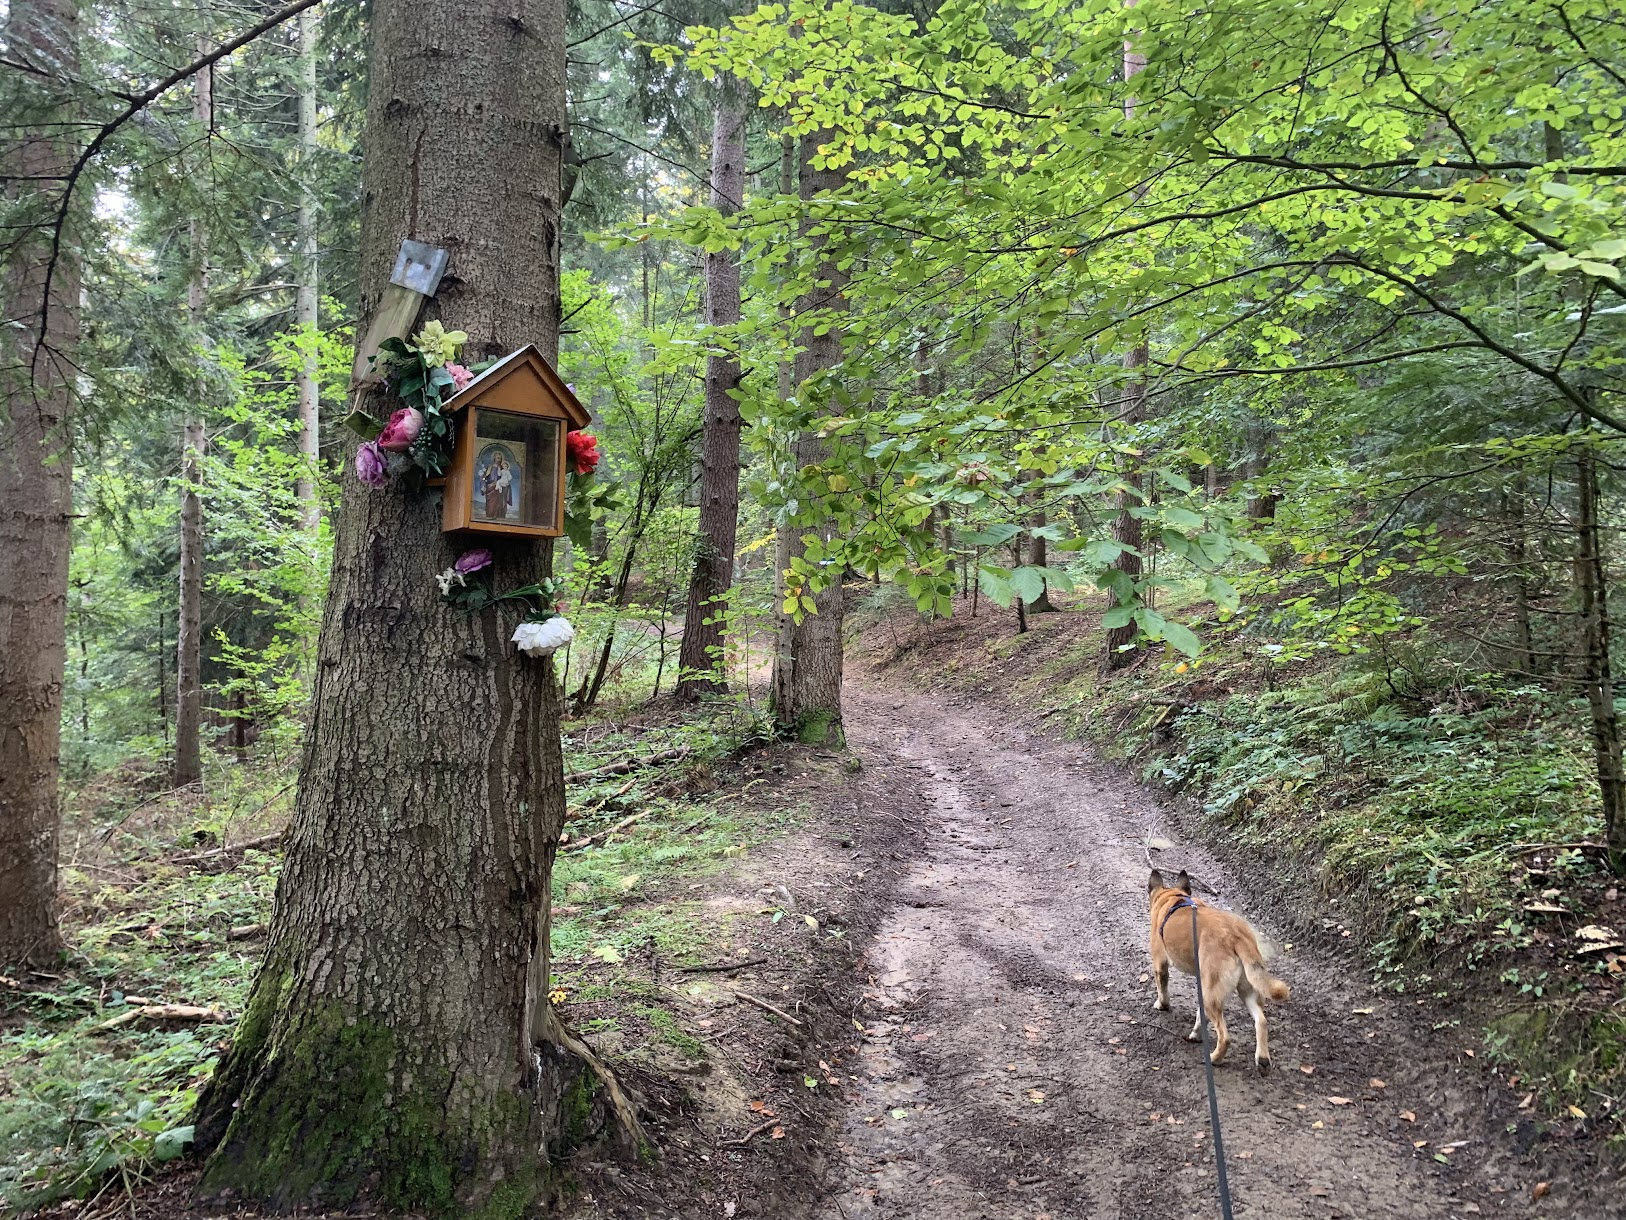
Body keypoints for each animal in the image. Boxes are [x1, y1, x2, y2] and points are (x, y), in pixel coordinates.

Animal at [1151, 871, 1287, 1080]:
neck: (1174, 898)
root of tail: (1237, 936)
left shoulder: (1160, 963)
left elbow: (1162, 988)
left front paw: (1162, 1005)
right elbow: (1200, 1016)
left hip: (1213, 997)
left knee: (1225, 1037)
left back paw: (1214, 1058)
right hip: (1245, 991)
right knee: (1262, 1021)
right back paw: (1262, 1059)